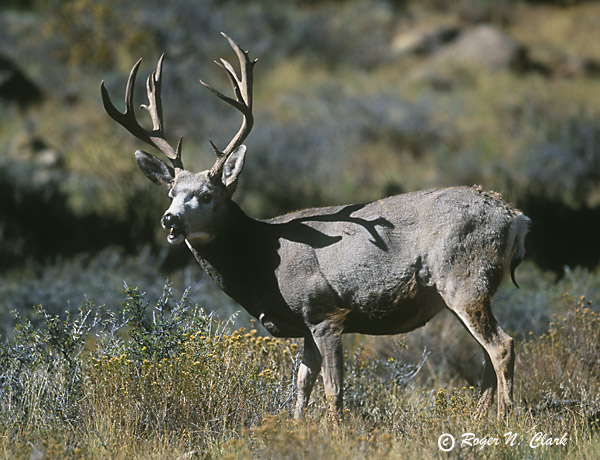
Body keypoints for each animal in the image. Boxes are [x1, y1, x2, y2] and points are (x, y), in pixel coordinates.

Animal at [102, 34, 528, 418]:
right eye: (171, 192)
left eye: (207, 195)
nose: (169, 219)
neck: (263, 258)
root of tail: (516, 218)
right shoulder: (305, 326)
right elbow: (301, 388)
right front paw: (297, 429)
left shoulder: (325, 312)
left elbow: (333, 390)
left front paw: (338, 433)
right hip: (462, 290)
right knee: (486, 354)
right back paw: (478, 418)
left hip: (464, 278)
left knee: (503, 346)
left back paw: (504, 421)